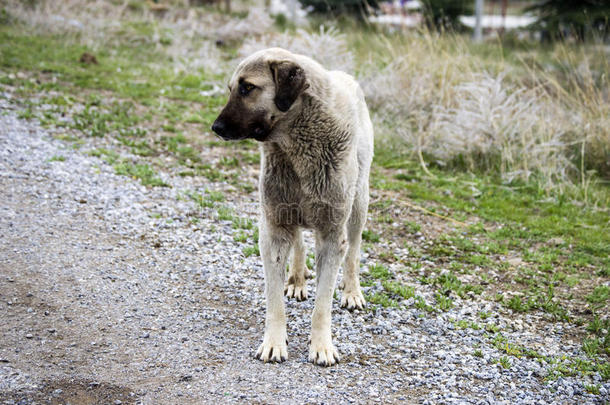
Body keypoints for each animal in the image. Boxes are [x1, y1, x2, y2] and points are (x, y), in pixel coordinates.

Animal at [211, 47, 372, 366]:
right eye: (231, 88)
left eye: (247, 88)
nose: (216, 128)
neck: (297, 147)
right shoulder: (274, 228)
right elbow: (273, 299)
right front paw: (274, 342)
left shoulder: (332, 235)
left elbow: (323, 304)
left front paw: (322, 346)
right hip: (288, 209)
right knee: (299, 241)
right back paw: (297, 279)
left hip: (359, 204)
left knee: (354, 252)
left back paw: (352, 291)